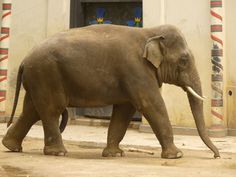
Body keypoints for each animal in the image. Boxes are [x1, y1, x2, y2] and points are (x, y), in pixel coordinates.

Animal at [1, 24, 220, 158]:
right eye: (184, 60)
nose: (216, 155)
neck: (149, 31)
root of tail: (24, 60)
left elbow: (125, 110)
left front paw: (114, 154)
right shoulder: (136, 69)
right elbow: (150, 104)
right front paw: (177, 156)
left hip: (38, 78)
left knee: (32, 110)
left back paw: (11, 146)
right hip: (46, 74)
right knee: (50, 110)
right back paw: (58, 153)